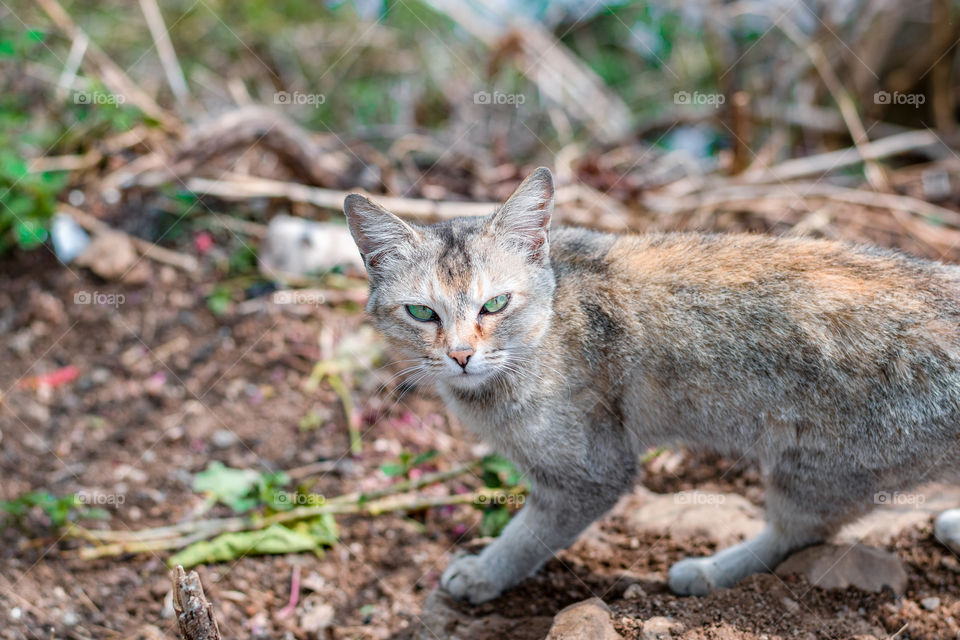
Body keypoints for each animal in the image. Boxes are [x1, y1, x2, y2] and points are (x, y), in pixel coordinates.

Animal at [344, 168, 960, 604]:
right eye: (421, 312)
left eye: (494, 304)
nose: (461, 355)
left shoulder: (591, 473)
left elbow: (528, 535)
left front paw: (486, 573)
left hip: (814, 469)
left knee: (798, 535)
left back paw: (709, 571)